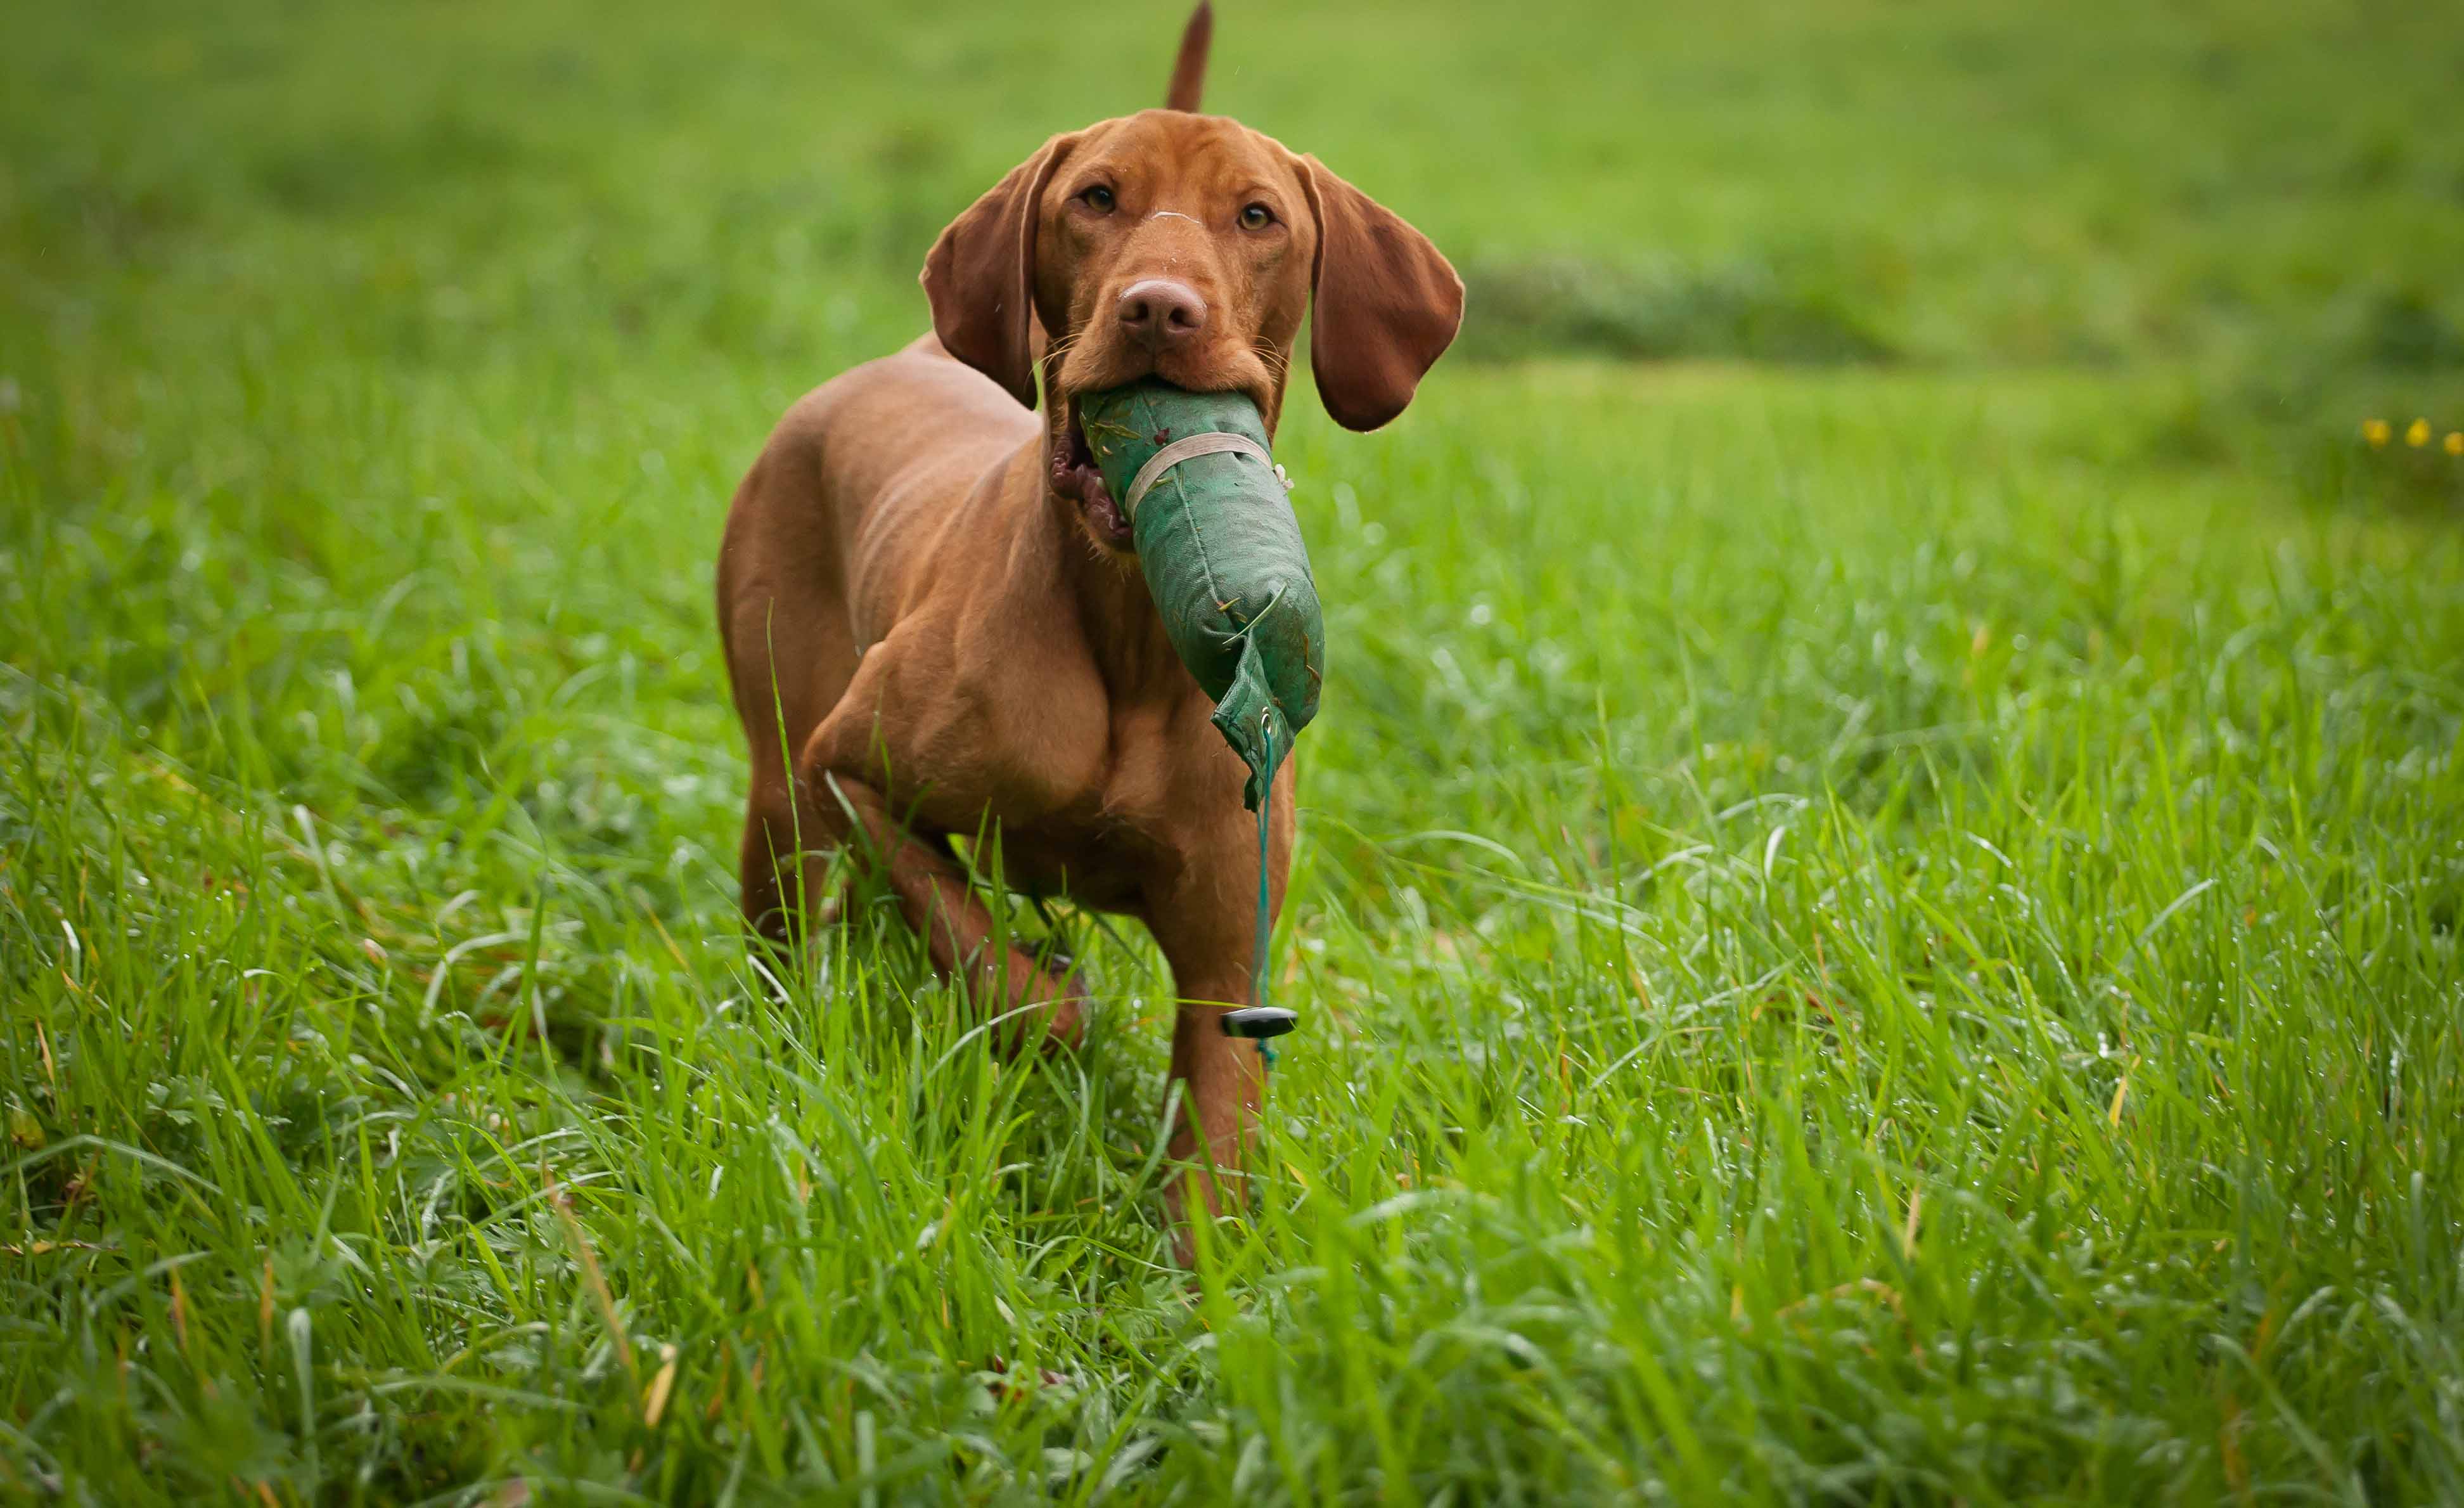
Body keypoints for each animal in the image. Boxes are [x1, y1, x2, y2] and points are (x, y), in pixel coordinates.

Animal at [714, 3, 1458, 1246]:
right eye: (1096, 198)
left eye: (1256, 216)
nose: (1157, 305)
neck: (1128, 630)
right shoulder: (846, 767)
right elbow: (996, 964)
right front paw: (1046, 1004)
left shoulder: (1228, 960)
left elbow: (1212, 1165)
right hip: (778, 792)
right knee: (792, 936)